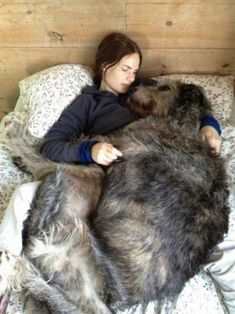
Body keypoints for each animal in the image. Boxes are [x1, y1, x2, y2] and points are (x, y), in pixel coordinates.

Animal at [0, 79, 229, 312]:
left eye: (164, 88)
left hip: (81, 178)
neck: (182, 122)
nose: (134, 86)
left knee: (46, 169)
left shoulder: (112, 144)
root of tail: (110, 300)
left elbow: (46, 153)